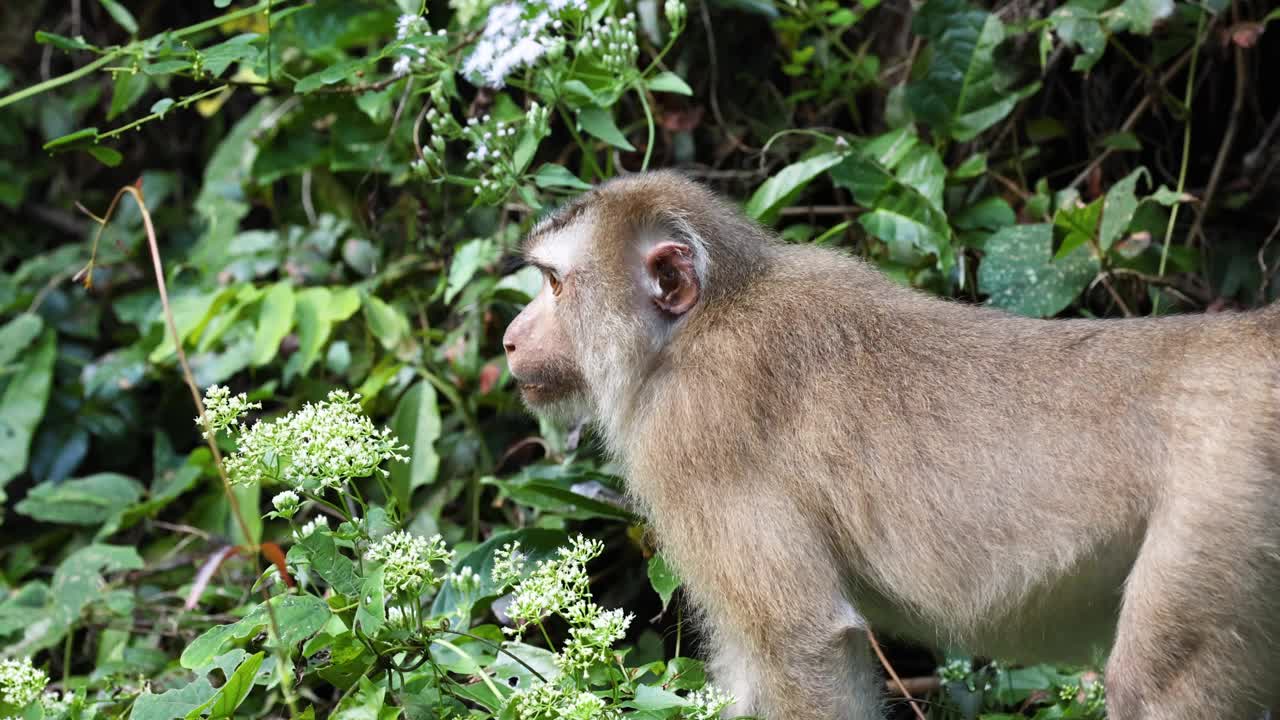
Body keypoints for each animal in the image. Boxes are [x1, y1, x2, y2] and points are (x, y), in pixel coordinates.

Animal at [499, 169, 1280, 717]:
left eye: (555, 284)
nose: (509, 337)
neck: (698, 324)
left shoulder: (690, 440)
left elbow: (802, 642)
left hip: (1226, 507)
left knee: (1156, 686)